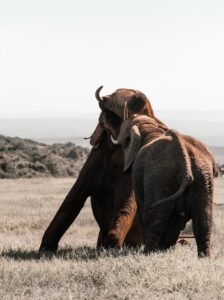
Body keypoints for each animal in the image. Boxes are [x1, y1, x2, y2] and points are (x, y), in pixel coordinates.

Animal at [116, 96, 218, 258]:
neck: (150, 129)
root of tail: (183, 151)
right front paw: (165, 250)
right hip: (203, 176)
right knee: (203, 218)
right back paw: (204, 258)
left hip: (159, 176)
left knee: (154, 216)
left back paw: (148, 254)